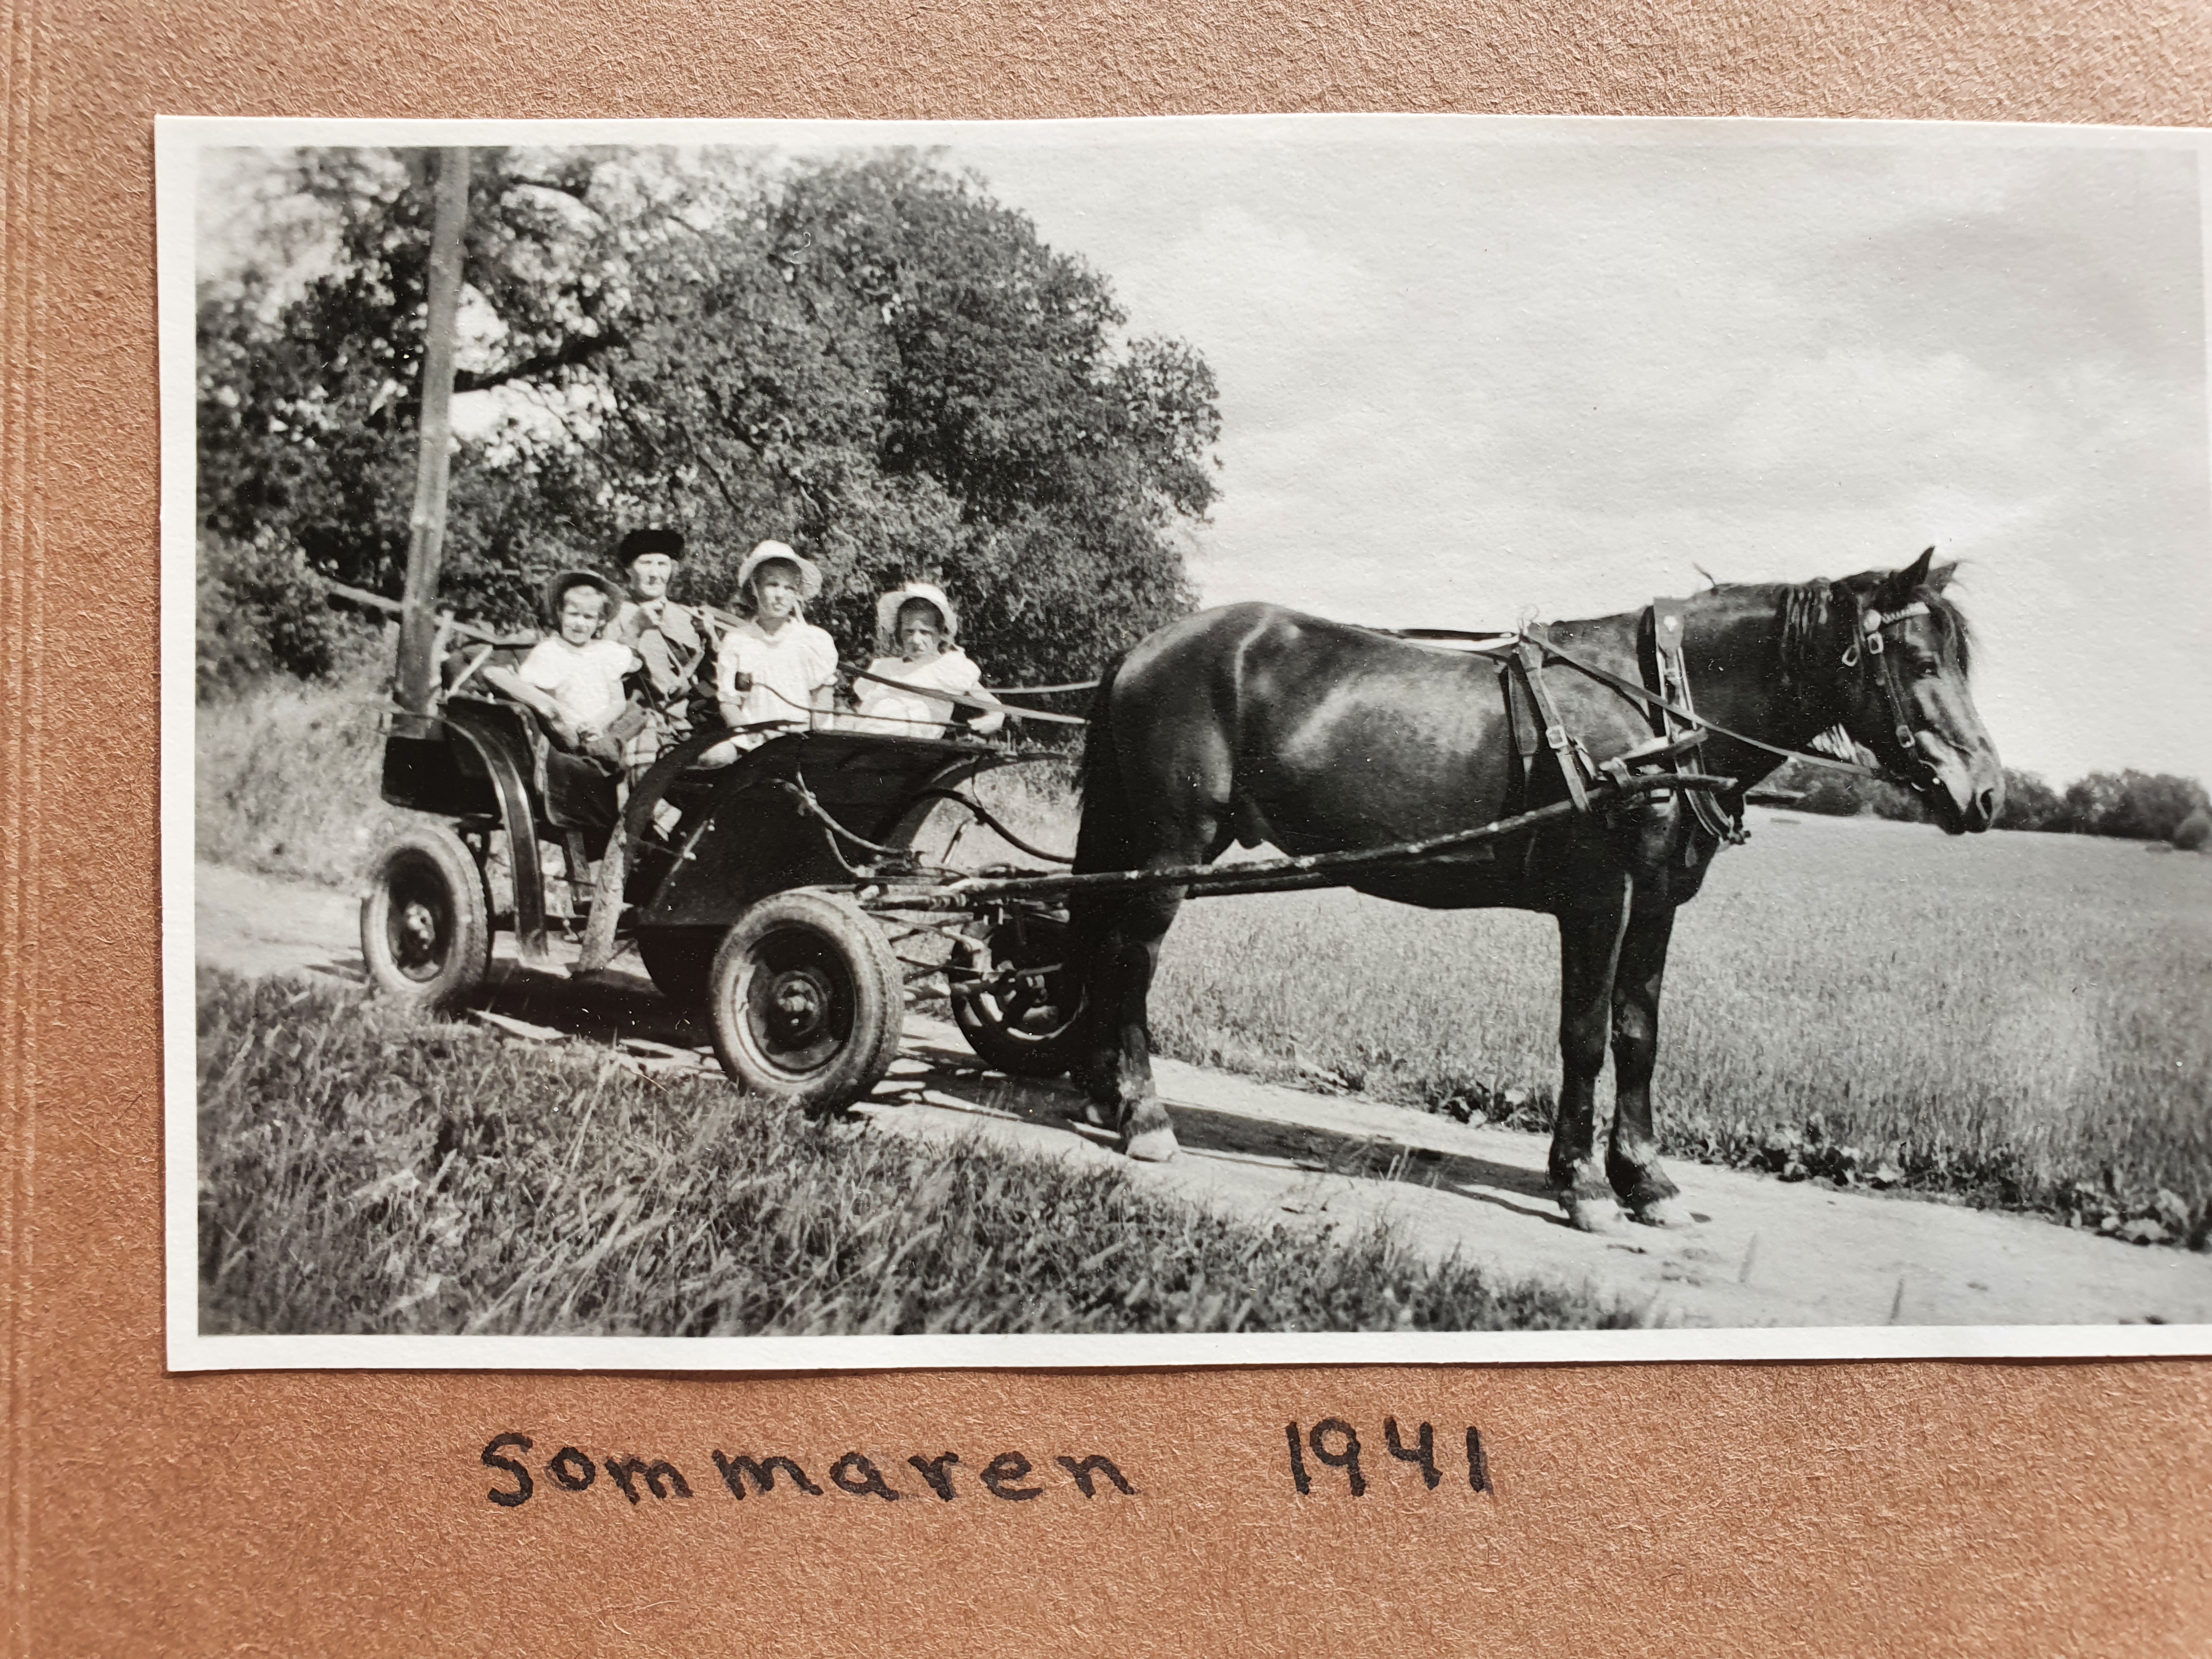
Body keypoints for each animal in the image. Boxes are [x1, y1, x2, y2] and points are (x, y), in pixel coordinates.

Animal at [1070, 555, 2008, 1238]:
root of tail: (1147, 648)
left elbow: (1638, 1035)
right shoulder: (1599, 900)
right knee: (1132, 960)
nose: (1988, 795)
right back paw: (1145, 1116)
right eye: (1922, 661)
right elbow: (1585, 1038)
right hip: (1170, 850)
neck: (1661, 716)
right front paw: (1584, 1184)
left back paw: (1104, 1094)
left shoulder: (1657, 904)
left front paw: (1646, 1179)